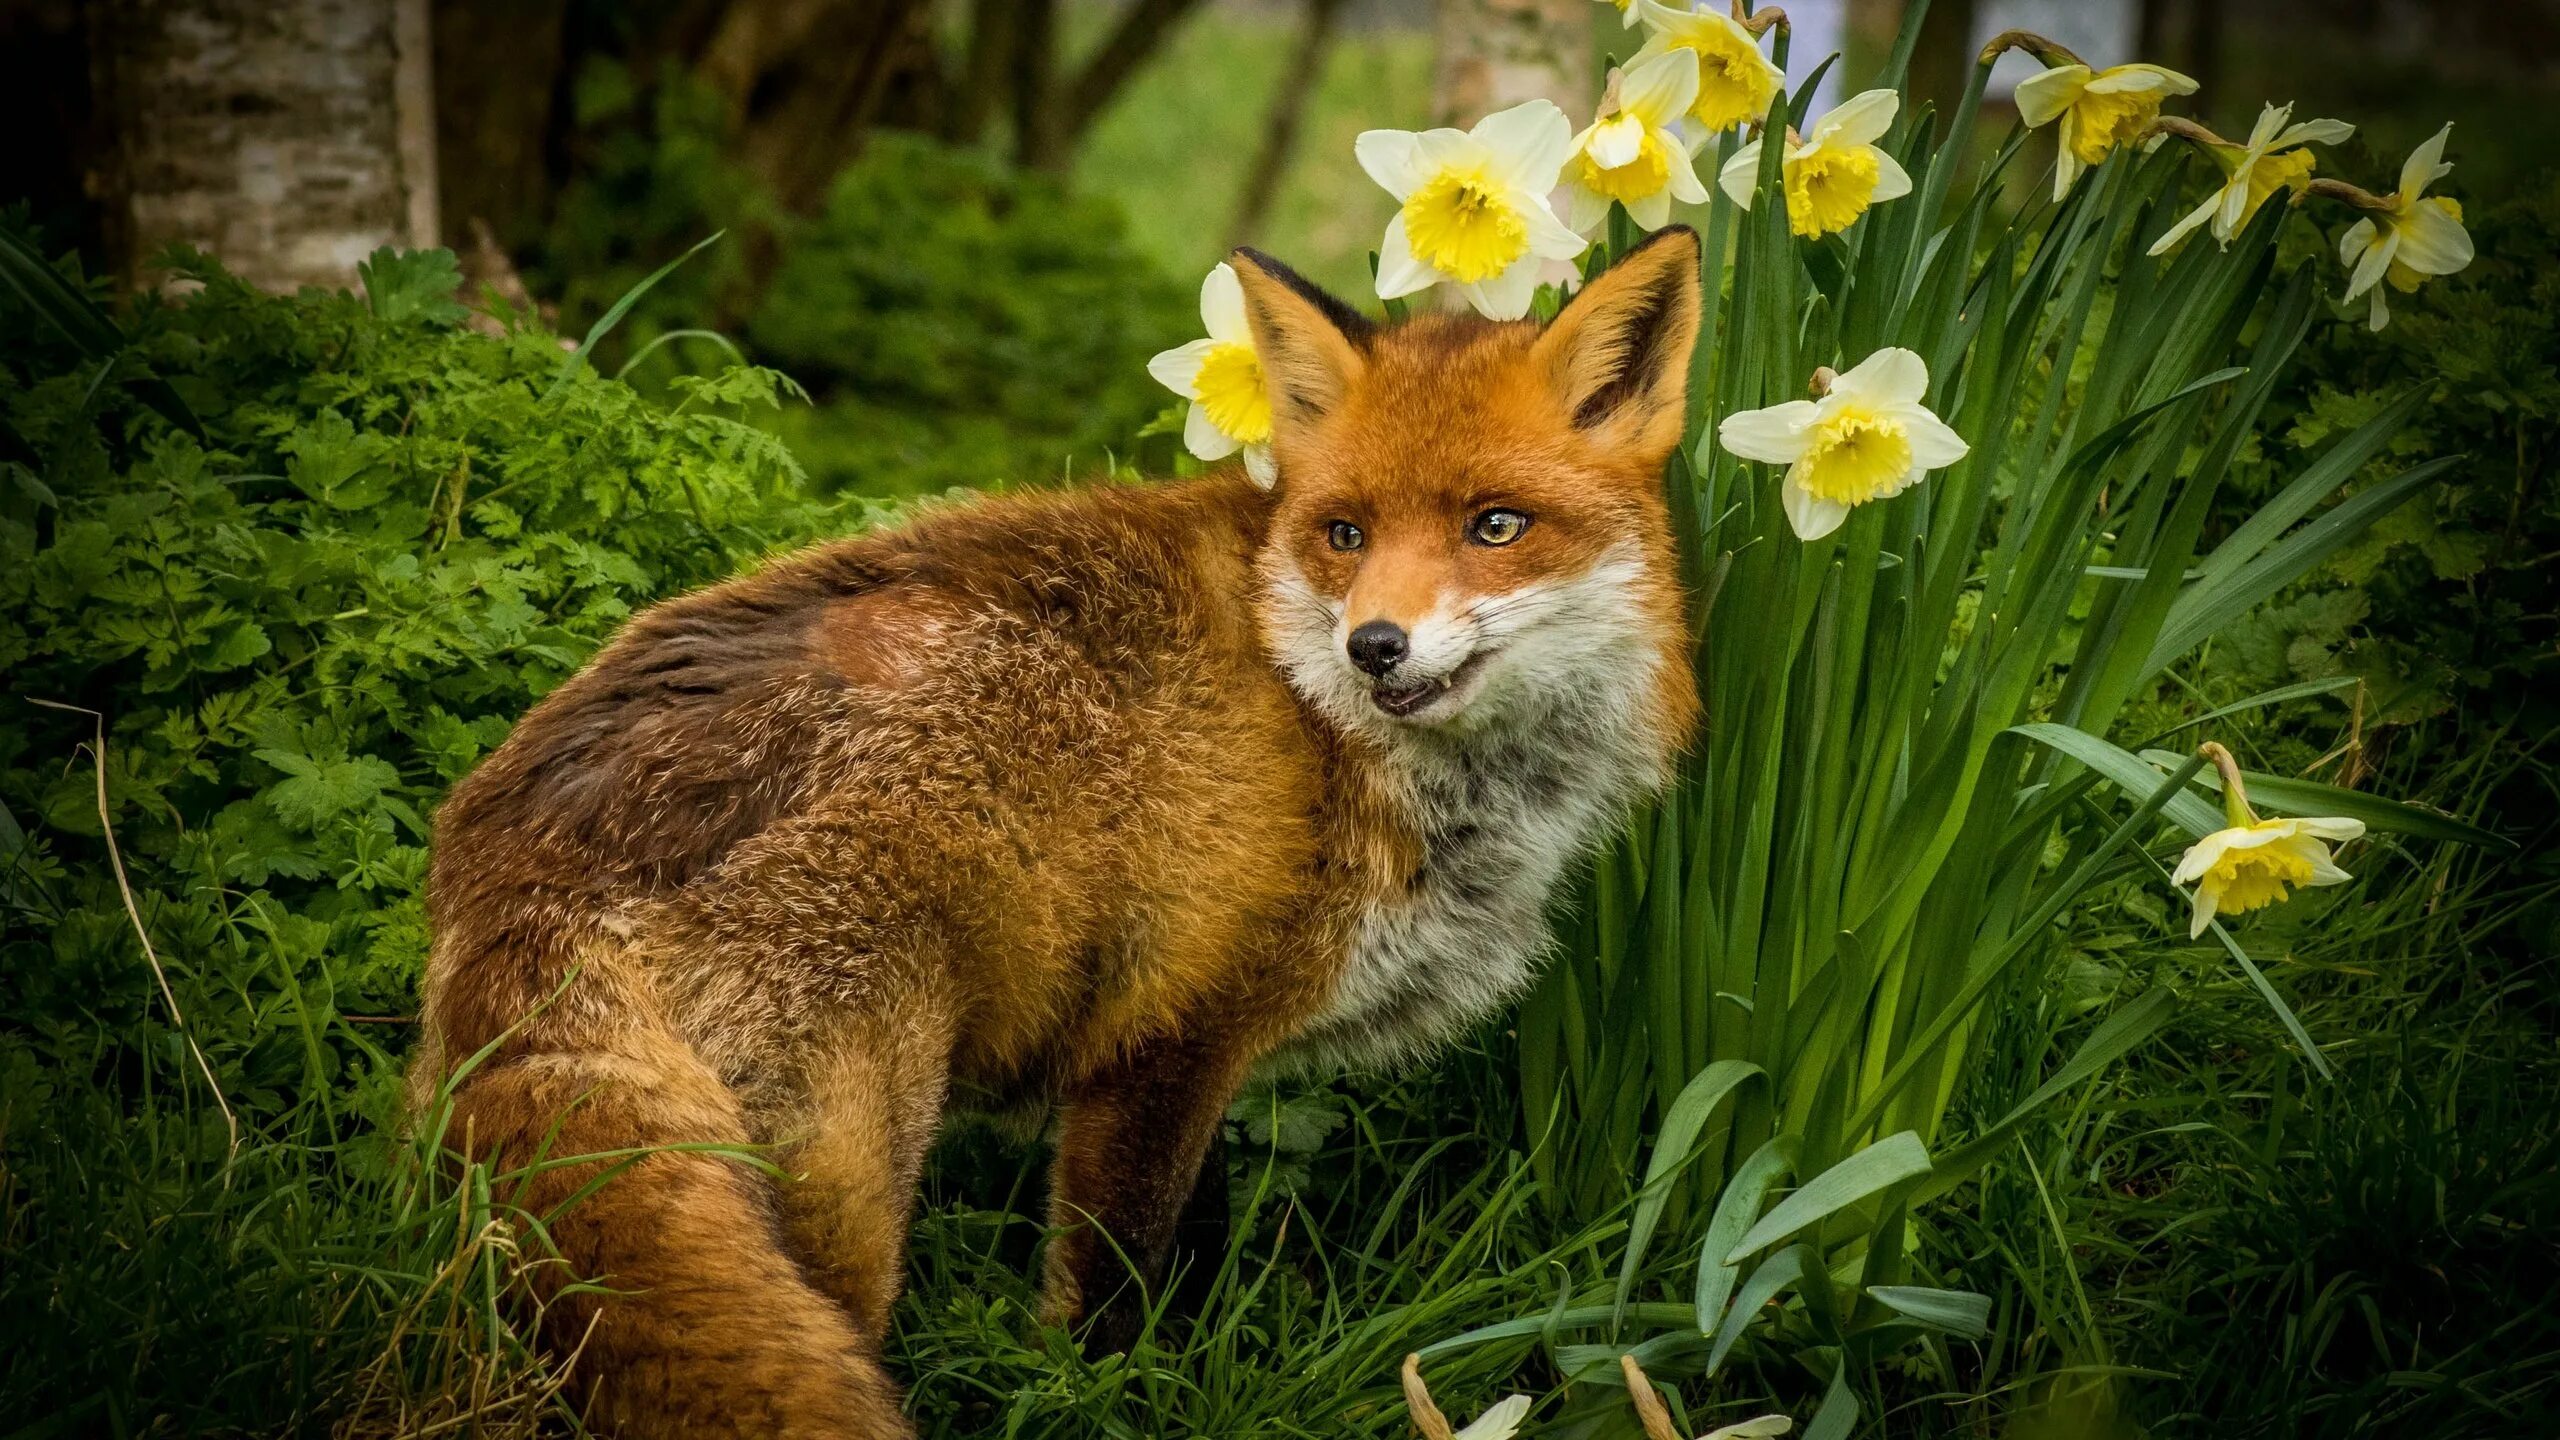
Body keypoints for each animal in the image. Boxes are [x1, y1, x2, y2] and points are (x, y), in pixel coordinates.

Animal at [414, 229, 1699, 1424]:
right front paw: (1108, 1400)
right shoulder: (1164, 1038)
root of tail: (529, 840)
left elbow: (1193, 1255)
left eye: (1496, 527)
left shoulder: (1187, 1058)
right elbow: (1112, 1289)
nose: (1372, 646)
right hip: (844, 1187)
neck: (1329, 729)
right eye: (1344, 535)